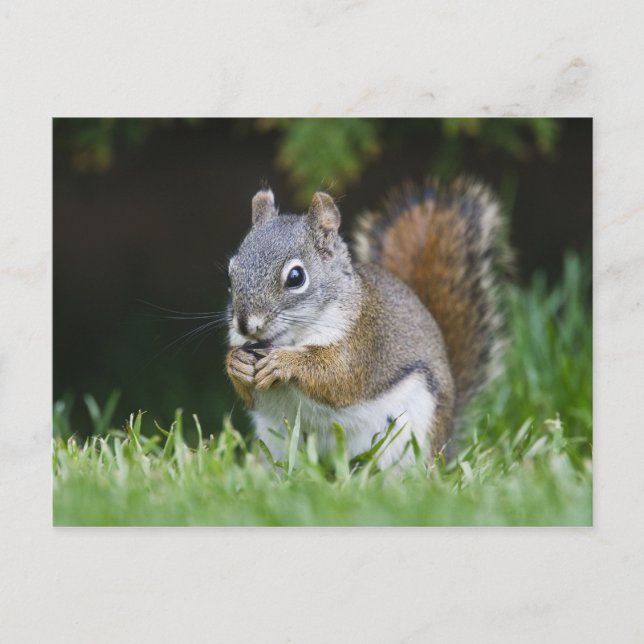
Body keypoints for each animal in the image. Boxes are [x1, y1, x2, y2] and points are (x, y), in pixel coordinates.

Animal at [225, 178, 508, 469]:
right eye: (231, 273)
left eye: (296, 277)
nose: (245, 325)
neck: (291, 338)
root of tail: (446, 442)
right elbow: (248, 394)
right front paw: (237, 363)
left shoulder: (363, 345)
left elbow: (337, 378)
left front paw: (283, 363)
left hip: (409, 436)